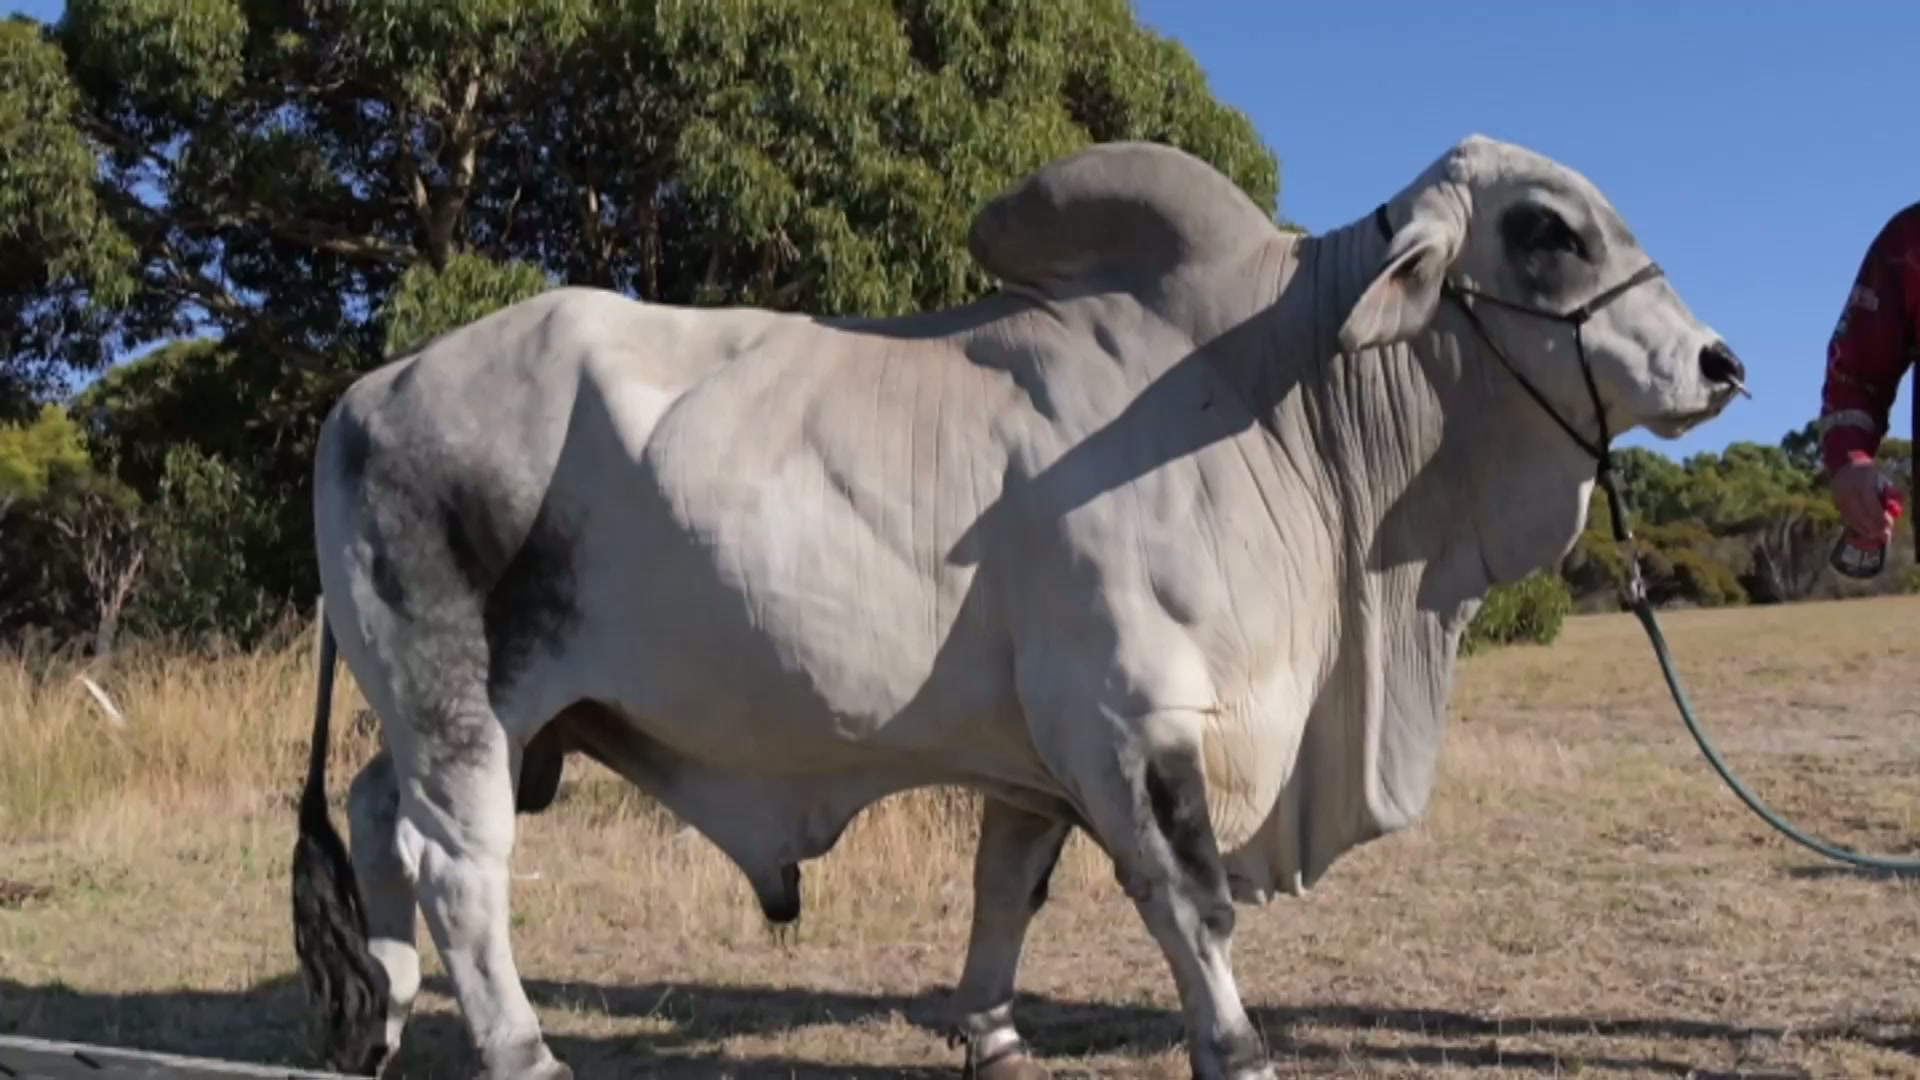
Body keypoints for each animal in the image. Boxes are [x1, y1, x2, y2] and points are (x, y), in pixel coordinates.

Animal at [290, 133, 1745, 1080]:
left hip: (465, 716)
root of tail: (366, 392)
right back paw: (520, 1051)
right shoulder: (1133, 717)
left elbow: (1007, 892)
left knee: (374, 822)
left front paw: (989, 1035)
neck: (1278, 400)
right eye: (1546, 227)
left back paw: (390, 1011)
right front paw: (1234, 1046)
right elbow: (1192, 904)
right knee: (457, 868)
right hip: (465, 704)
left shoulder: (1037, 754)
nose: (1719, 363)